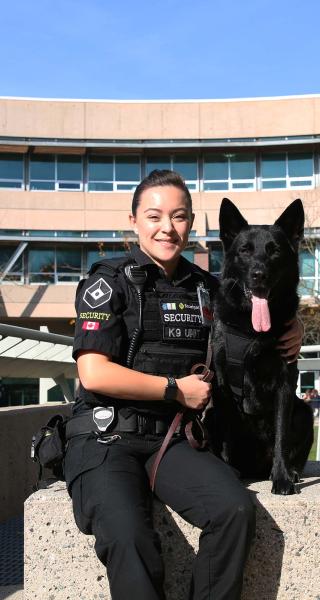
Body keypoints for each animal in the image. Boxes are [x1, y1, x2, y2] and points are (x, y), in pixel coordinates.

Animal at [206, 199, 314, 494]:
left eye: (274, 251)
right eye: (245, 250)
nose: (259, 275)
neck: (252, 332)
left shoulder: (285, 384)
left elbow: (281, 437)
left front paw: (282, 477)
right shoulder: (222, 386)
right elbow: (227, 438)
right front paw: (228, 472)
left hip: (305, 412)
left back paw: (292, 472)